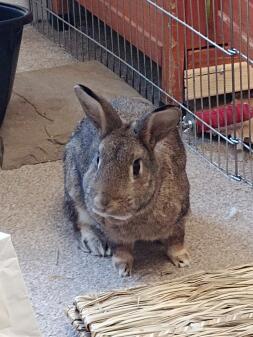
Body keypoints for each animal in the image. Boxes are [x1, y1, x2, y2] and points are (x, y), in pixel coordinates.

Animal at [63, 84, 190, 276]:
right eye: (98, 159)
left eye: (136, 167)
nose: (102, 202)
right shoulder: (114, 233)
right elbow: (121, 249)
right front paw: (122, 268)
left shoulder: (180, 216)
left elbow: (176, 241)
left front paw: (183, 260)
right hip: (73, 189)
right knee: (79, 221)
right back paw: (95, 244)